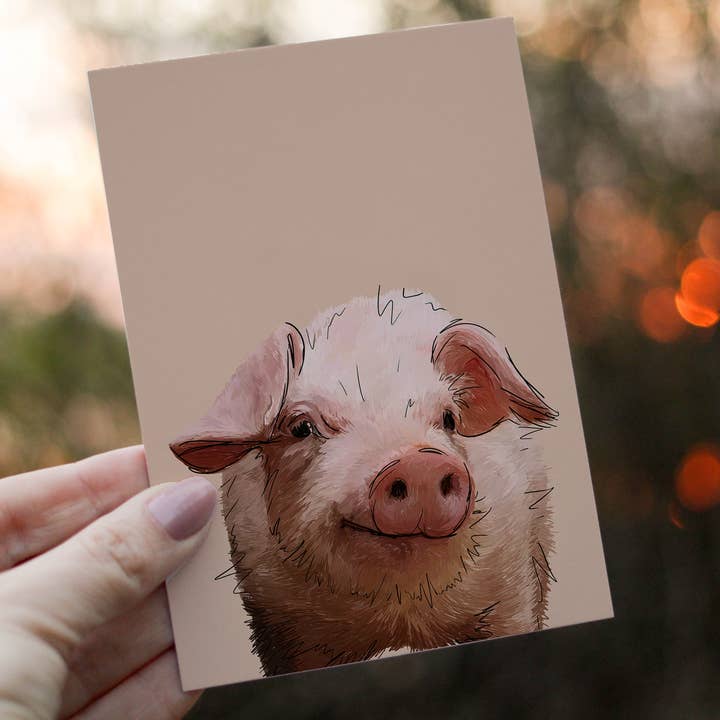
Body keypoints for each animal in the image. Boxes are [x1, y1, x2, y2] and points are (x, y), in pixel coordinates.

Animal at [170, 288, 558, 676]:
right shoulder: (277, 623)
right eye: (301, 427)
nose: (420, 462)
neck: (399, 615)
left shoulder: (512, 587)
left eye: (449, 419)